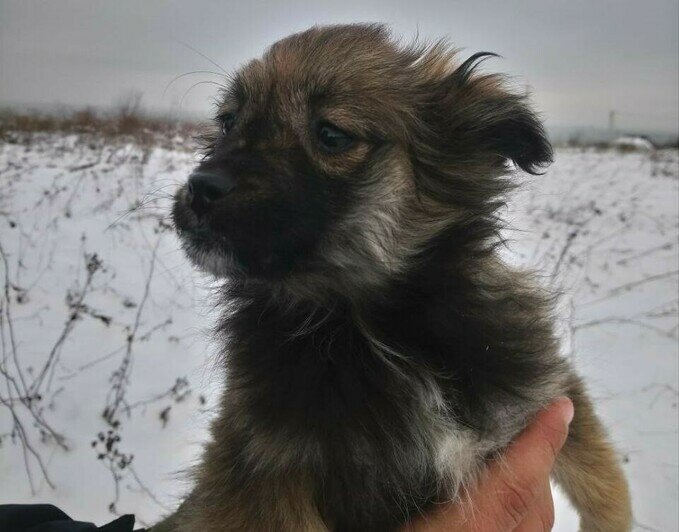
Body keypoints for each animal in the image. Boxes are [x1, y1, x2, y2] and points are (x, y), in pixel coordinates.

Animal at [158, 22, 632, 528]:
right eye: (228, 123)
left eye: (331, 134)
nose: (201, 188)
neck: (374, 329)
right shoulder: (259, 470)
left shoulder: (539, 385)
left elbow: (602, 477)